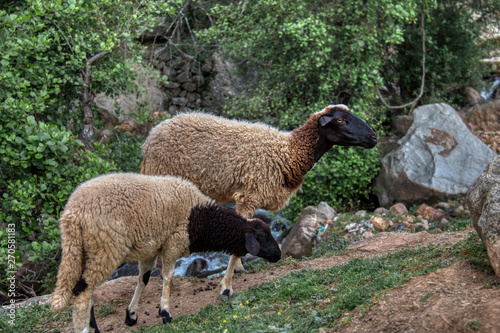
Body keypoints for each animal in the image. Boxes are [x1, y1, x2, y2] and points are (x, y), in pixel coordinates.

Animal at [49, 172, 282, 330]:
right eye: (263, 237)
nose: (278, 255)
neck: (200, 217)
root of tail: (72, 214)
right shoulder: (172, 244)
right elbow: (168, 277)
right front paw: (165, 313)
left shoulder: (151, 249)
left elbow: (143, 279)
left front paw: (131, 315)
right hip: (104, 250)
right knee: (82, 293)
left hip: (81, 252)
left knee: (84, 292)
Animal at [139, 103, 376, 298]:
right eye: (340, 120)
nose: (374, 137)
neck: (288, 153)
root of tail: (151, 137)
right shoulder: (248, 197)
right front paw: (226, 287)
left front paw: (238, 270)